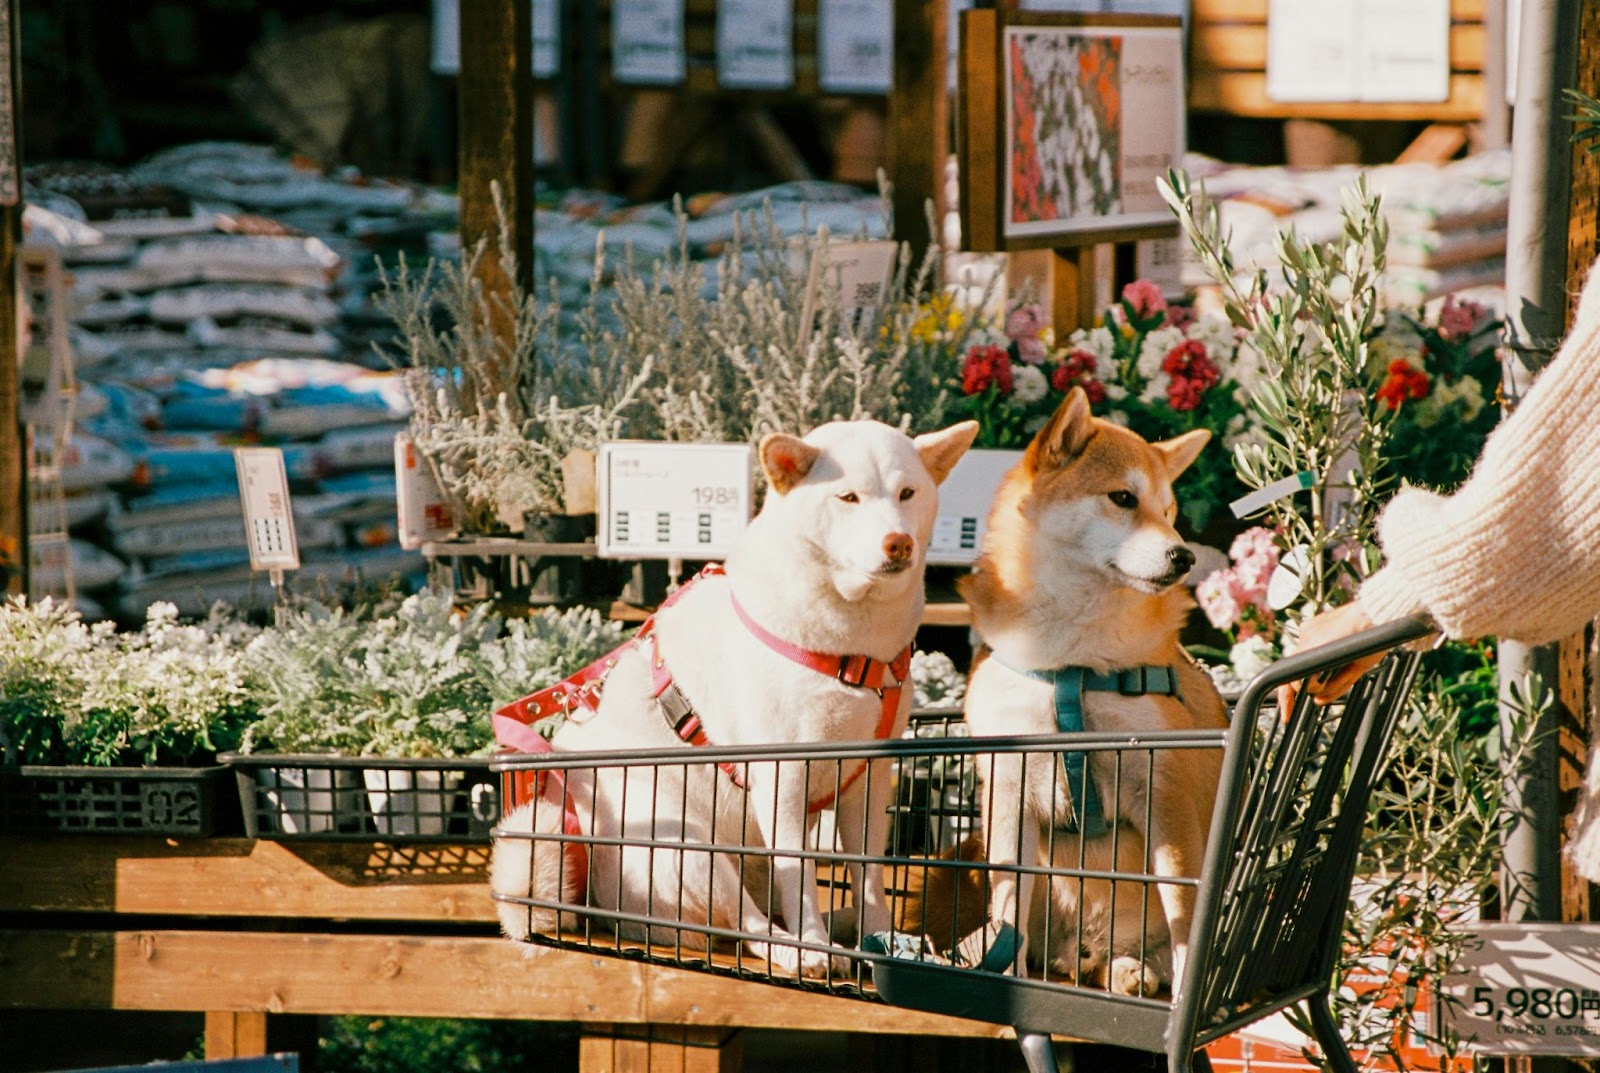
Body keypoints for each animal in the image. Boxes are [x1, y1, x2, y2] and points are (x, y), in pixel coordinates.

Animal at [492, 418, 979, 972]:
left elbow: (870, 876)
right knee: (746, 925)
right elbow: (800, 875)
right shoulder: (782, 779)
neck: (853, 646)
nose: (898, 543)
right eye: (848, 497)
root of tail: (601, 908)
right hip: (684, 848)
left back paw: (843, 927)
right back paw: (796, 948)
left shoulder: (869, 779)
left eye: (908, 493)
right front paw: (814, 944)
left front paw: (883, 941)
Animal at [953, 388, 1228, 997]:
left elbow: (1184, 909)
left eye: (1169, 513)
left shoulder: (1164, 794)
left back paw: (1137, 970)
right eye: (1123, 498)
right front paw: (1006, 975)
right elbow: (1008, 905)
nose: (1185, 557)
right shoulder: (1010, 795)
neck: (1072, 666)